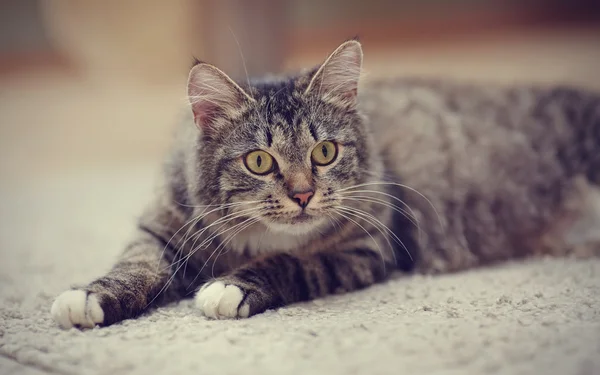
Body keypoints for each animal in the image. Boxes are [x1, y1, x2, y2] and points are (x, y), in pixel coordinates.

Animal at [51, 39, 600, 328]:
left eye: (324, 153)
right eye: (258, 161)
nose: (302, 194)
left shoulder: (363, 250)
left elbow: (289, 263)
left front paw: (229, 288)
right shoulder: (160, 231)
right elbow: (134, 267)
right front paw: (88, 299)